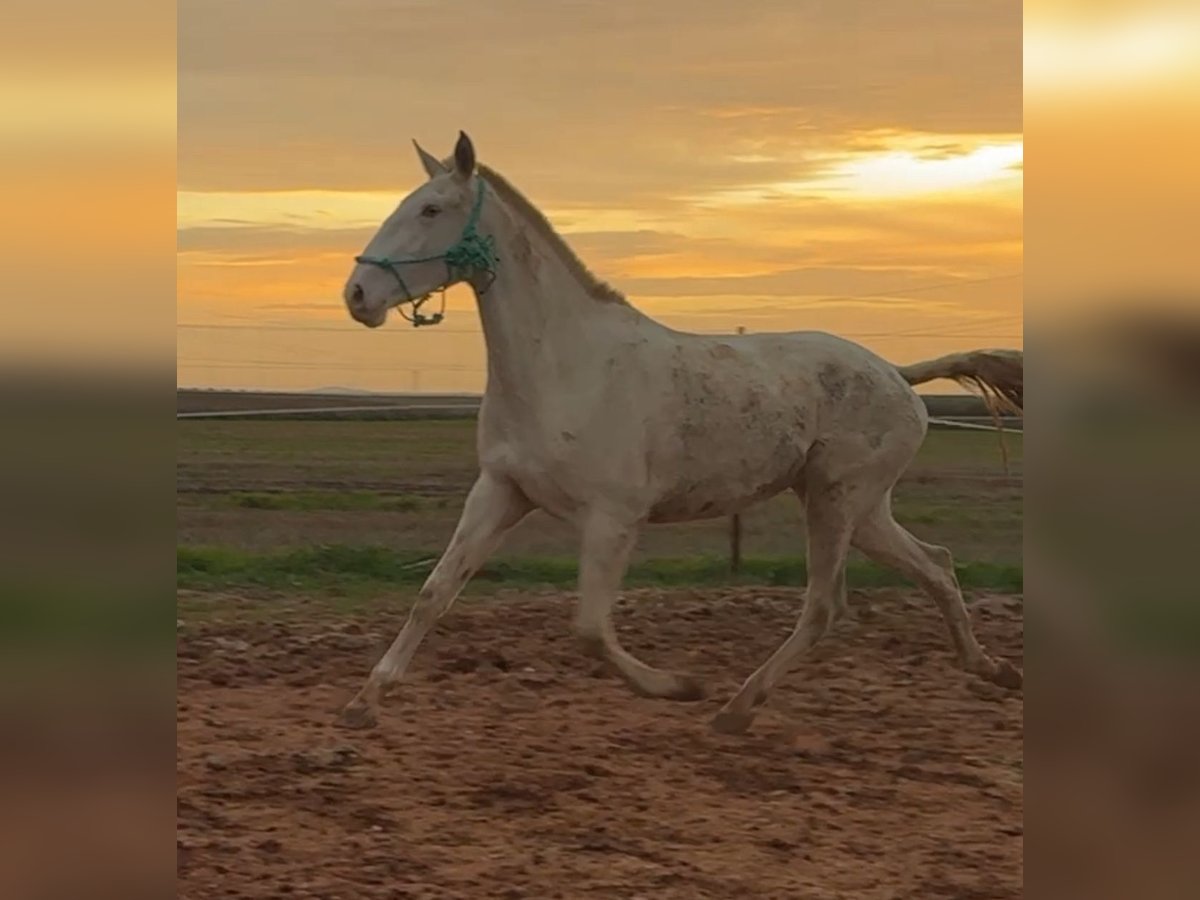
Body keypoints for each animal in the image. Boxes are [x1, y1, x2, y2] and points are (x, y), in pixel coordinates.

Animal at [338, 133, 1022, 734]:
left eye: (431, 209)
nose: (357, 294)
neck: (565, 366)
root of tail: (898, 376)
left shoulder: (613, 517)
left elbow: (589, 629)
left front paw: (681, 686)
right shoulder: (502, 492)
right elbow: (435, 591)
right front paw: (364, 703)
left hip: (837, 501)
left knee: (827, 604)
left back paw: (735, 708)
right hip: (859, 508)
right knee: (936, 564)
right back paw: (990, 668)